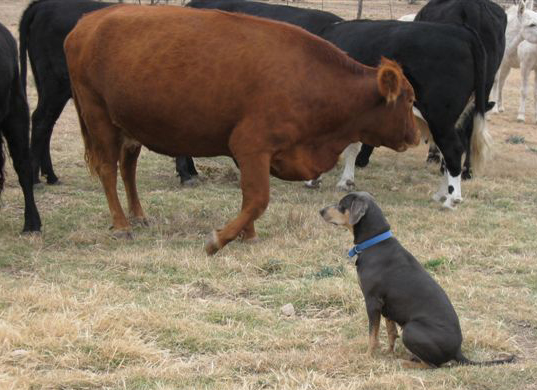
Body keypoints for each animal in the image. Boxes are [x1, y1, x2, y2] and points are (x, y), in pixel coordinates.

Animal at [63, 6, 418, 256]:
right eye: (410, 99)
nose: (415, 136)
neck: (312, 80)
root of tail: (88, 20)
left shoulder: (252, 155)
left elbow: (249, 197)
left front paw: (248, 235)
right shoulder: (251, 146)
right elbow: (258, 199)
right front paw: (220, 239)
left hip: (128, 127)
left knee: (128, 169)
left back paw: (138, 215)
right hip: (99, 119)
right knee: (108, 170)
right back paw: (122, 224)